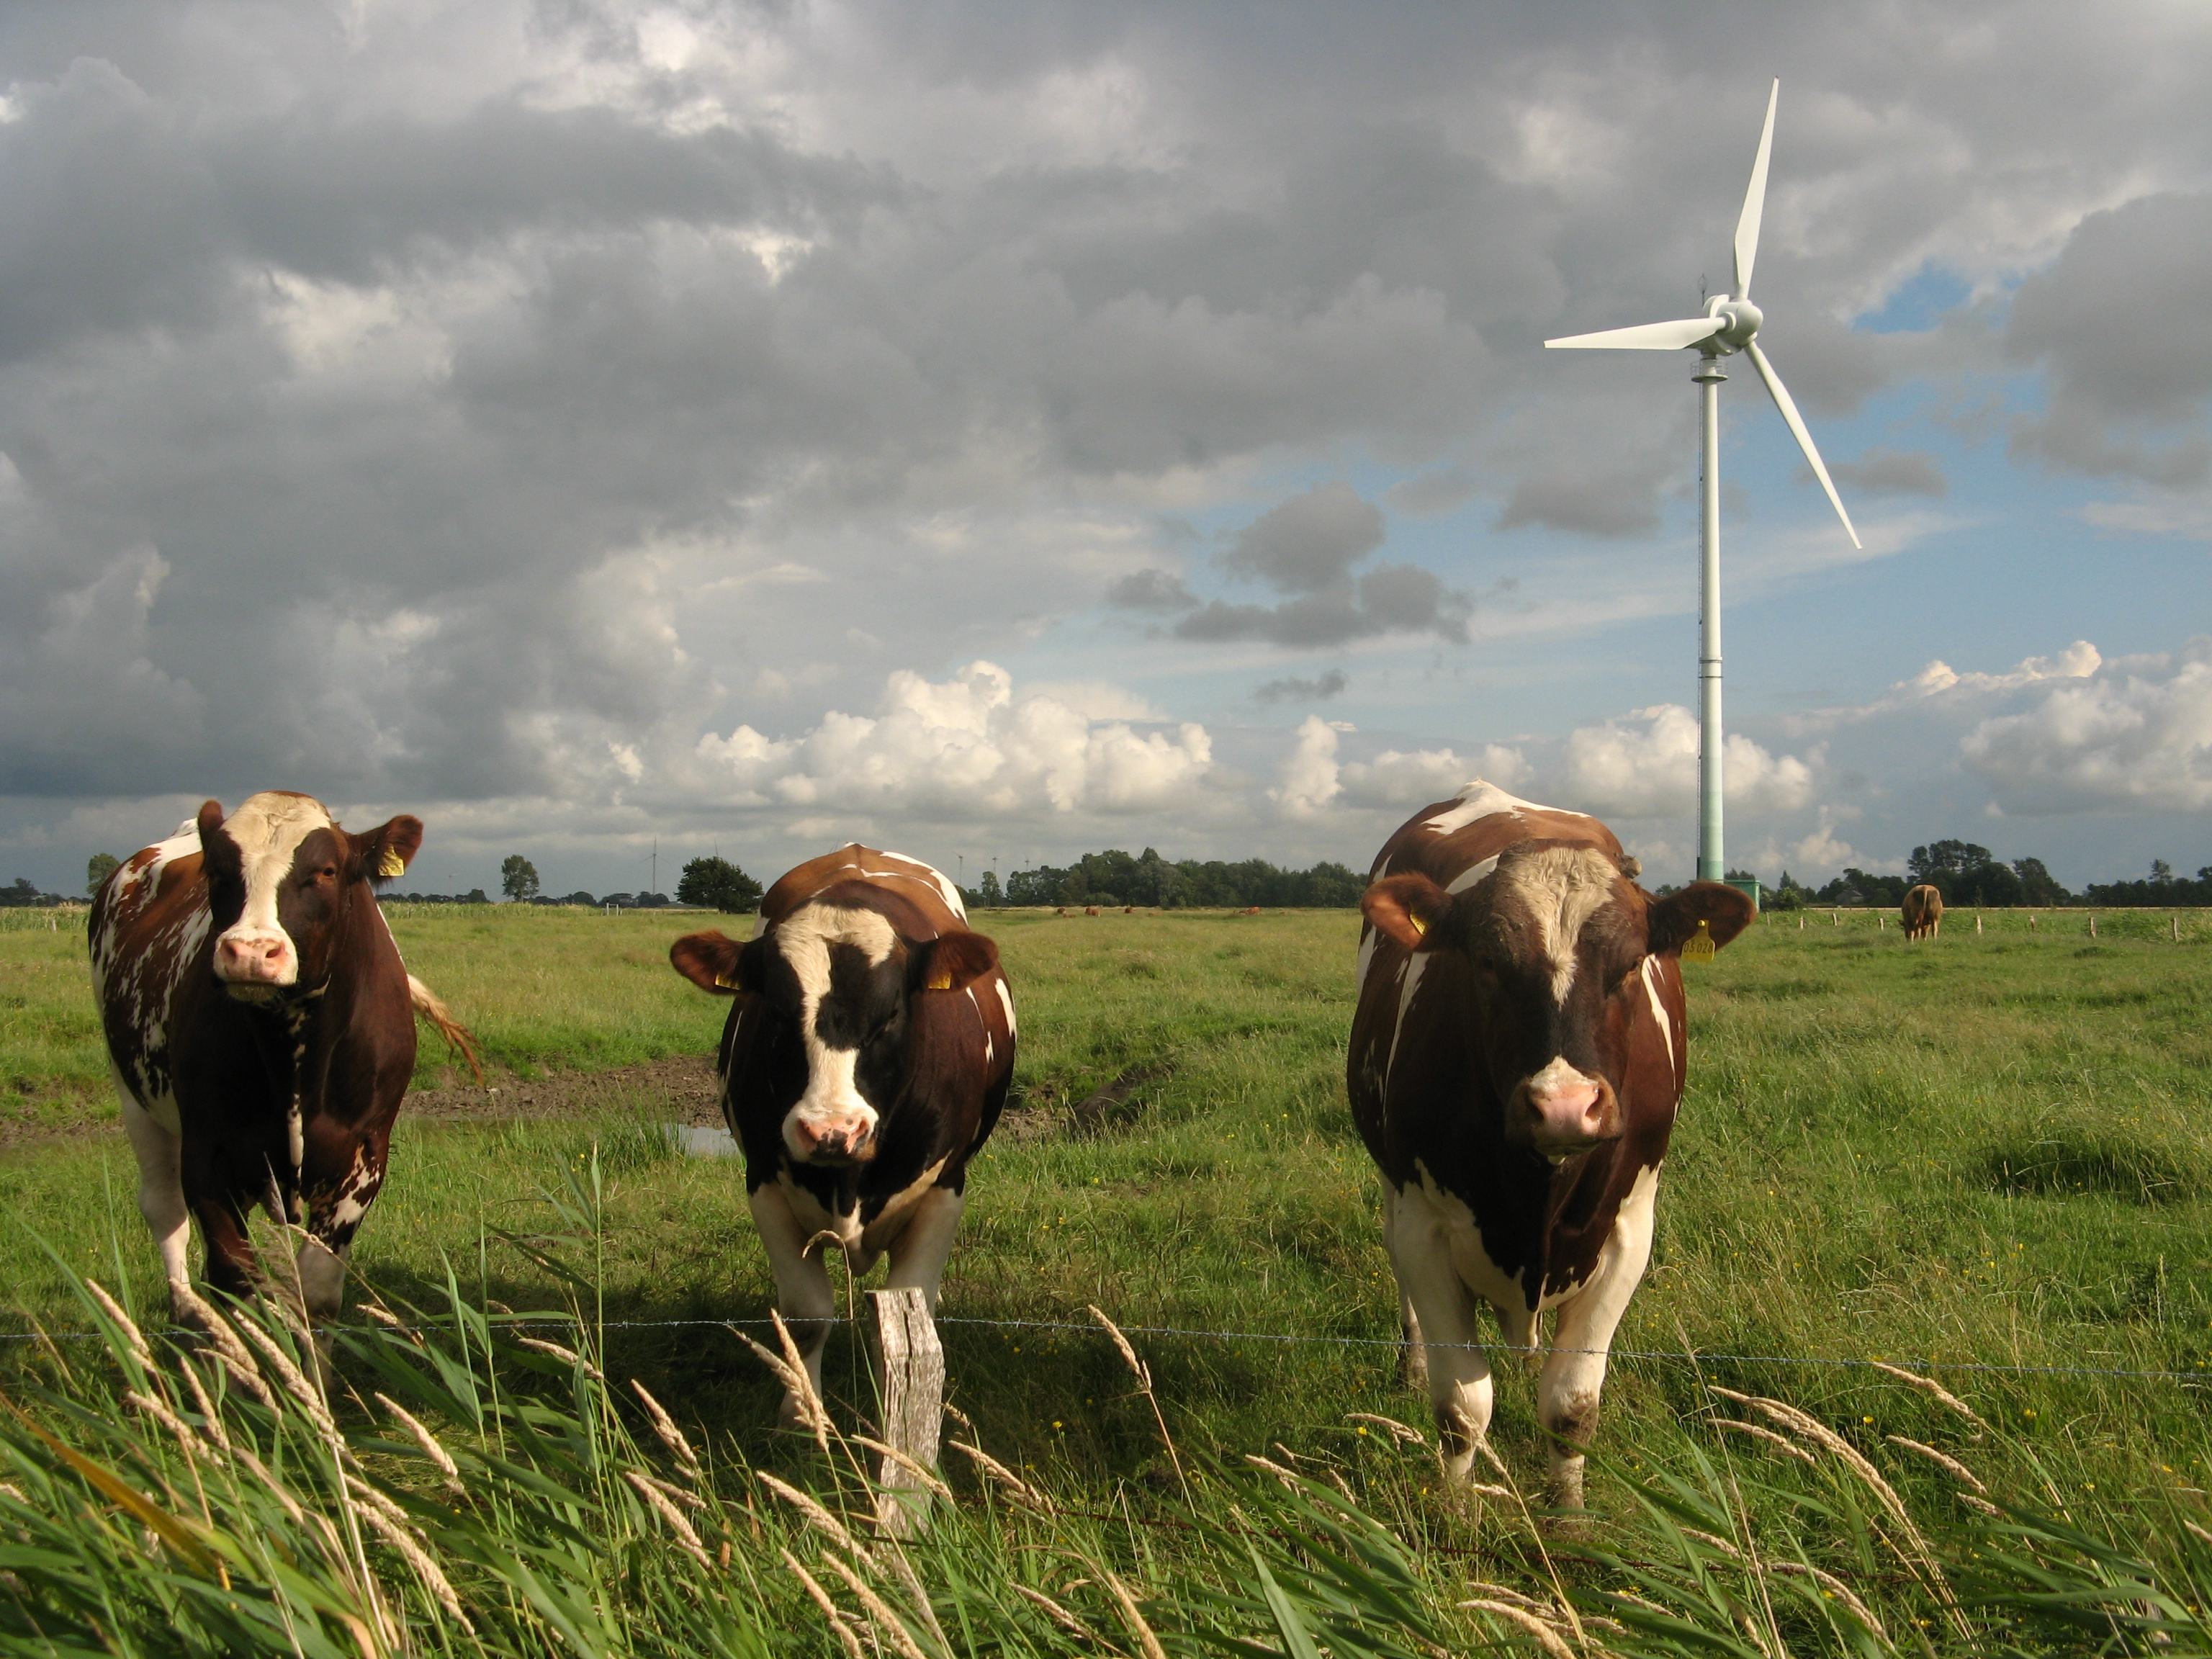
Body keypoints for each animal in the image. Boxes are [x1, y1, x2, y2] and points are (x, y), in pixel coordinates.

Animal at [93, 791, 464, 1327]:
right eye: (218, 871)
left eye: (326, 870)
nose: (250, 952)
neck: (293, 1050)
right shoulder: (207, 1155)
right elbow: (237, 1283)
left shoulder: (363, 1160)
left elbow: (317, 1292)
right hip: (133, 1096)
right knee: (163, 1208)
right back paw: (188, 1313)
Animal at [663, 849, 1017, 1424]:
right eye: (775, 1011)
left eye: (891, 1013)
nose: (832, 1131)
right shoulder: (763, 1183)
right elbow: (807, 1316)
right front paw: (802, 1414)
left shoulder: (944, 1190)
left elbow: (908, 1320)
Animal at [1336, 787, 1752, 1513]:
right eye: (1487, 963)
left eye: (1631, 963)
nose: (1563, 1105)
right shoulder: (1427, 1227)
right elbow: (1462, 1407)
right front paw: (1458, 1515)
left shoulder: (1629, 1230)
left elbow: (1571, 1406)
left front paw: (1569, 1514)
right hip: (1393, 1189)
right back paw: (1411, 1362)